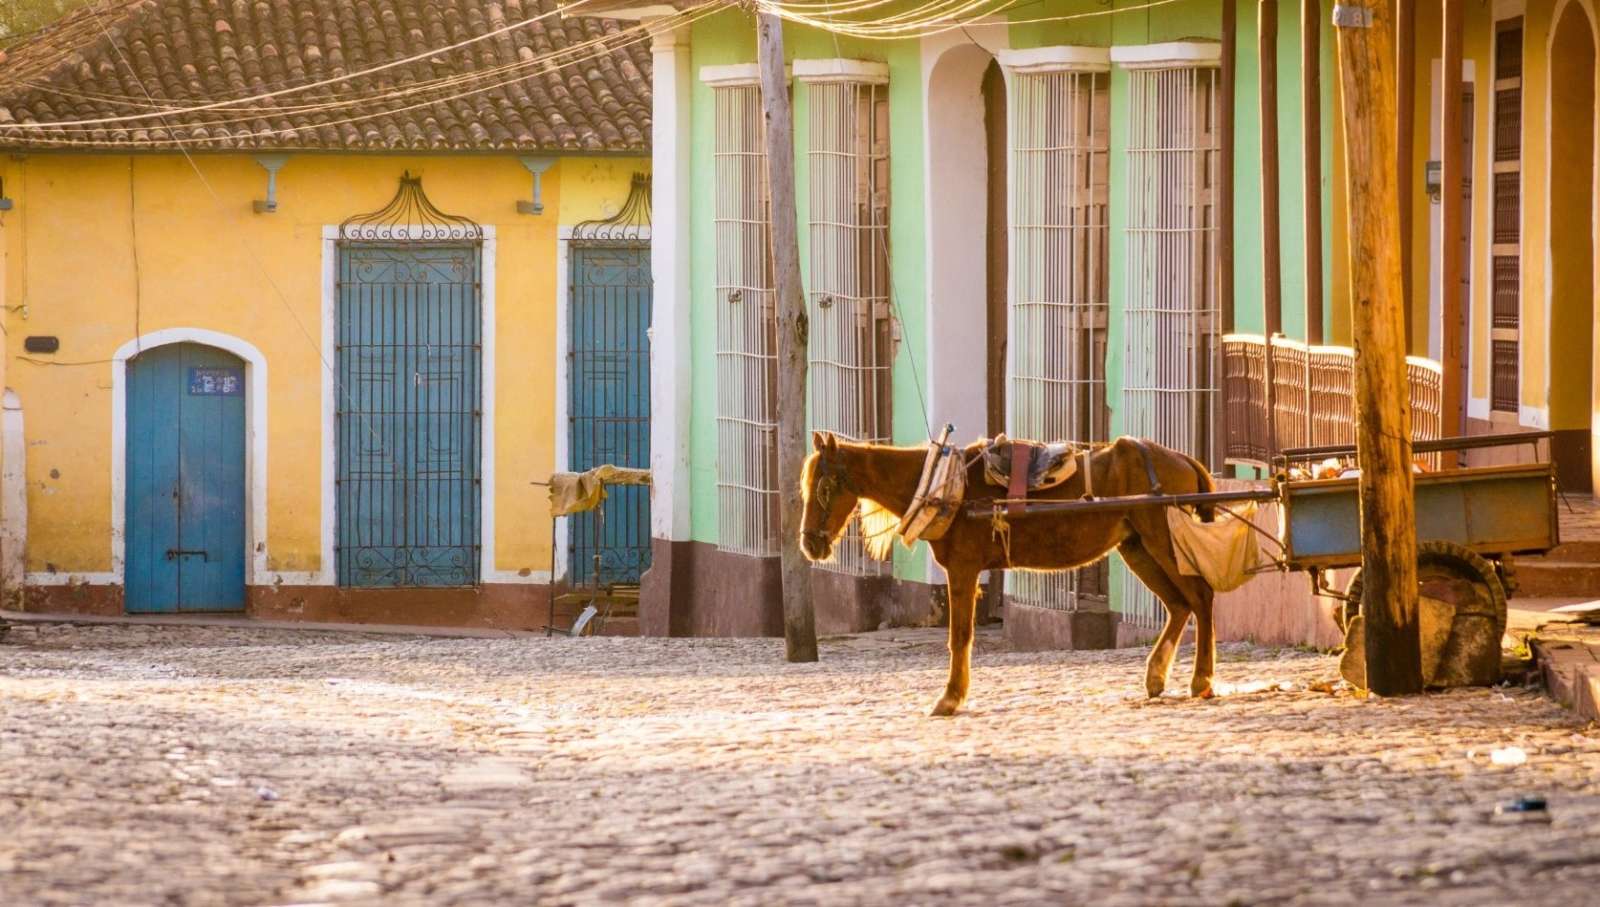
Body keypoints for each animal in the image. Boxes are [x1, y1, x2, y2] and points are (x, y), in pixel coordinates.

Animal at [793, 431, 1216, 716]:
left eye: (825, 486)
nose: (810, 544)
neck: (942, 485)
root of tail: (1182, 459)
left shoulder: (963, 570)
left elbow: (960, 637)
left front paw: (950, 697)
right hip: (1138, 548)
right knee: (1179, 605)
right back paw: (1157, 677)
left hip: (1162, 540)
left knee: (1201, 597)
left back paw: (1202, 680)